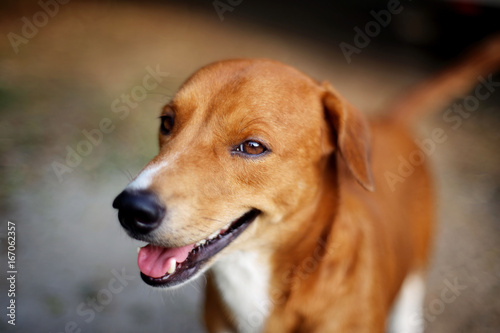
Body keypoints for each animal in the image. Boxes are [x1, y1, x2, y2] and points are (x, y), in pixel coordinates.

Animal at [113, 35, 500, 330]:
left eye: (252, 146)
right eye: (167, 122)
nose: (130, 209)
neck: (253, 278)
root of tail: (388, 120)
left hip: (413, 281)